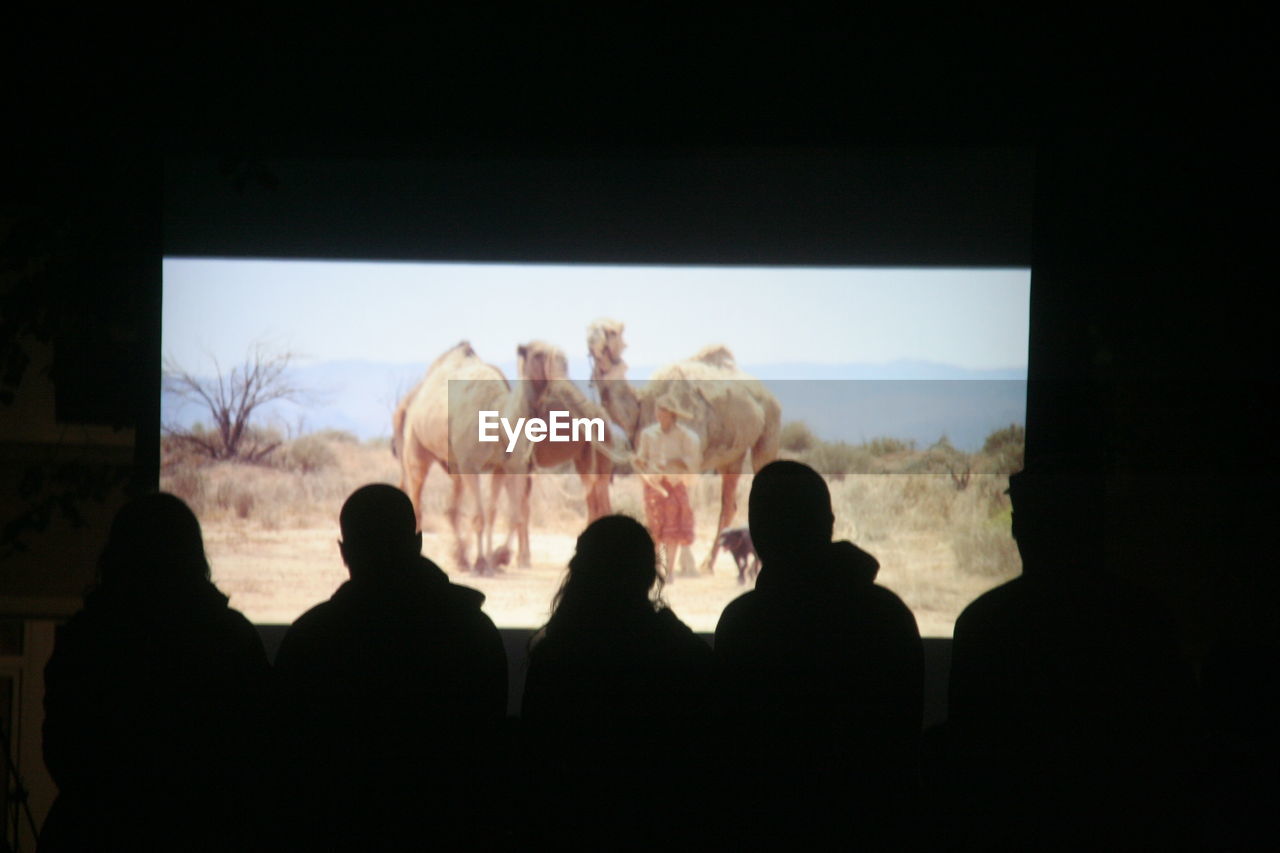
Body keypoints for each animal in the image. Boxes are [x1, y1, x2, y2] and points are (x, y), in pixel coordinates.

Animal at [386, 343, 532, 573]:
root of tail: (408, 401)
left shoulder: (502, 466)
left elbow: (501, 515)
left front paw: (498, 557)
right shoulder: (471, 465)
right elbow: (480, 517)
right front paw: (483, 563)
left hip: (453, 462)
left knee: (452, 508)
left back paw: (462, 558)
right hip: (415, 447)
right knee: (417, 497)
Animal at [586, 317, 778, 571]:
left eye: (612, 331)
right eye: (588, 328)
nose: (592, 340)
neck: (643, 405)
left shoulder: (691, 457)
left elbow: (685, 506)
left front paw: (685, 564)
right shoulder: (647, 460)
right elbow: (656, 506)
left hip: (768, 433)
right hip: (731, 456)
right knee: (728, 505)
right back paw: (708, 563)